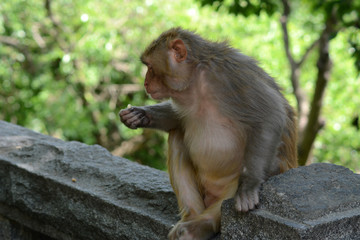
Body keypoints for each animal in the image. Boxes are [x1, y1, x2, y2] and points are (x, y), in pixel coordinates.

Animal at [119, 27, 296, 239]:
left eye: (151, 67)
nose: (145, 83)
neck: (195, 78)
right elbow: (177, 119)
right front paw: (139, 114)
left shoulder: (230, 74)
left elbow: (271, 114)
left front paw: (249, 186)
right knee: (177, 135)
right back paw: (191, 218)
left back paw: (202, 225)